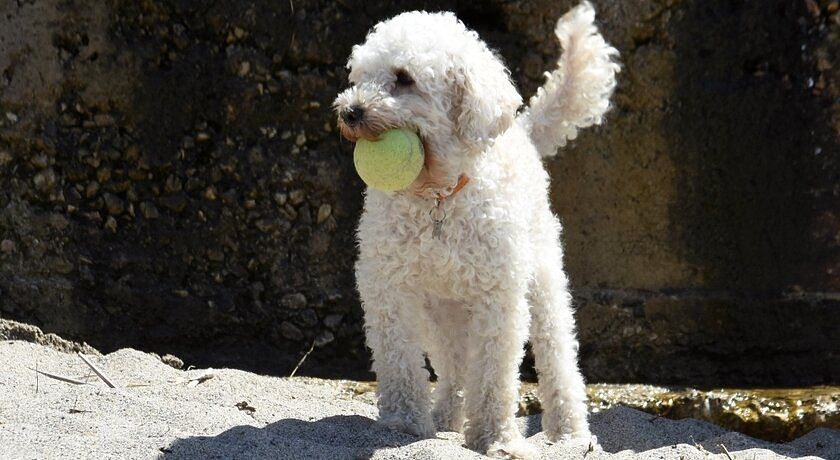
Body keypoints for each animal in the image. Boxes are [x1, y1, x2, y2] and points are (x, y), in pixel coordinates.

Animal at [334, 2, 616, 456]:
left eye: (404, 78)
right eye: (358, 78)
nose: (350, 112)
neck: (438, 197)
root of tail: (521, 131)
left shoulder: (498, 295)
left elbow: (494, 374)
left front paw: (495, 438)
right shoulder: (389, 286)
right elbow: (399, 359)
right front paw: (403, 424)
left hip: (542, 277)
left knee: (557, 355)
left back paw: (570, 433)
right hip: (441, 308)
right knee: (453, 364)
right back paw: (446, 417)